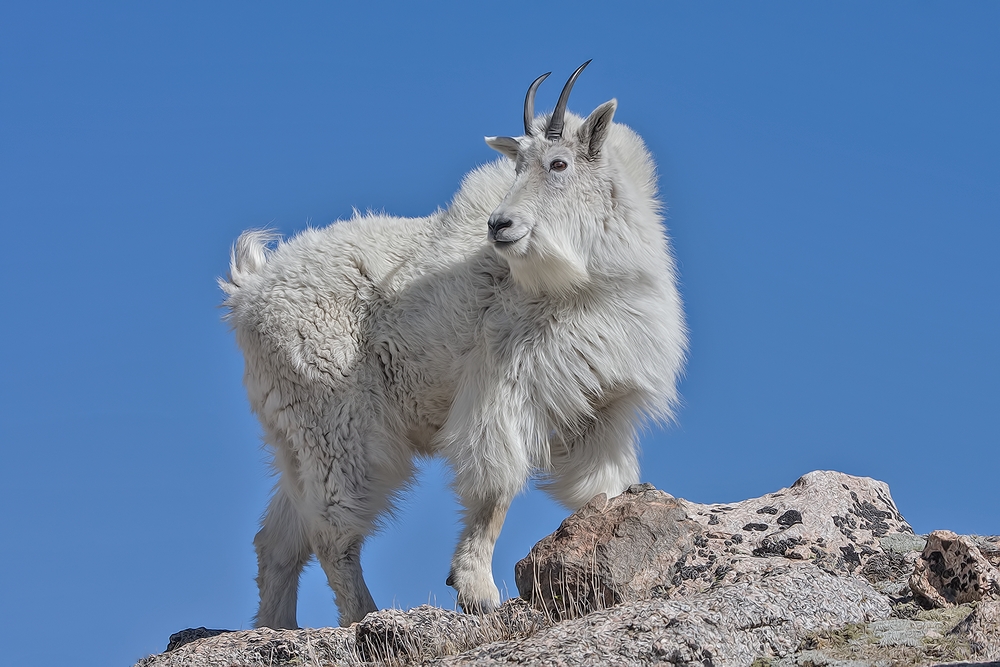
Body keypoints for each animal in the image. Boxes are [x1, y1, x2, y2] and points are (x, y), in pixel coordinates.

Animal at [220, 60, 688, 628]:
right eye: (516, 167)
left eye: (558, 163)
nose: (500, 225)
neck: (590, 278)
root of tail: (248, 293)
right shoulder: (503, 386)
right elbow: (495, 486)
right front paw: (476, 591)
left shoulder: (604, 406)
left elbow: (606, 485)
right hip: (337, 423)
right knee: (332, 531)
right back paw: (364, 617)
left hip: (292, 434)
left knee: (279, 539)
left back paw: (276, 628)